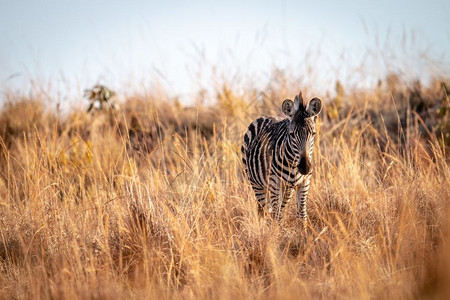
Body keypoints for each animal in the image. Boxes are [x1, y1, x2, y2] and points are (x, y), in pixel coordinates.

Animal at [241, 92, 322, 224]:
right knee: (265, 210)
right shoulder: (275, 182)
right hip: (256, 183)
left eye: (313, 133)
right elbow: (276, 215)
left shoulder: (304, 183)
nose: (305, 168)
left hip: (288, 189)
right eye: (292, 134)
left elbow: (302, 215)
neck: (293, 164)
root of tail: (267, 116)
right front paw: (276, 230)